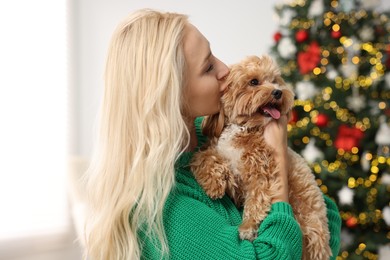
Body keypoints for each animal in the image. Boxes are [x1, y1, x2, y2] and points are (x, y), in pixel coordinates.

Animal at [190, 54, 330, 260]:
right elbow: (202, 157)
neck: (242, 128)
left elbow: (256, 202)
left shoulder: (261, 173)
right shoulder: (222, 159)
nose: (278, 92)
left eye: (275, 81)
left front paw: (247, 227)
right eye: (254, 82)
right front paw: (213, 184)